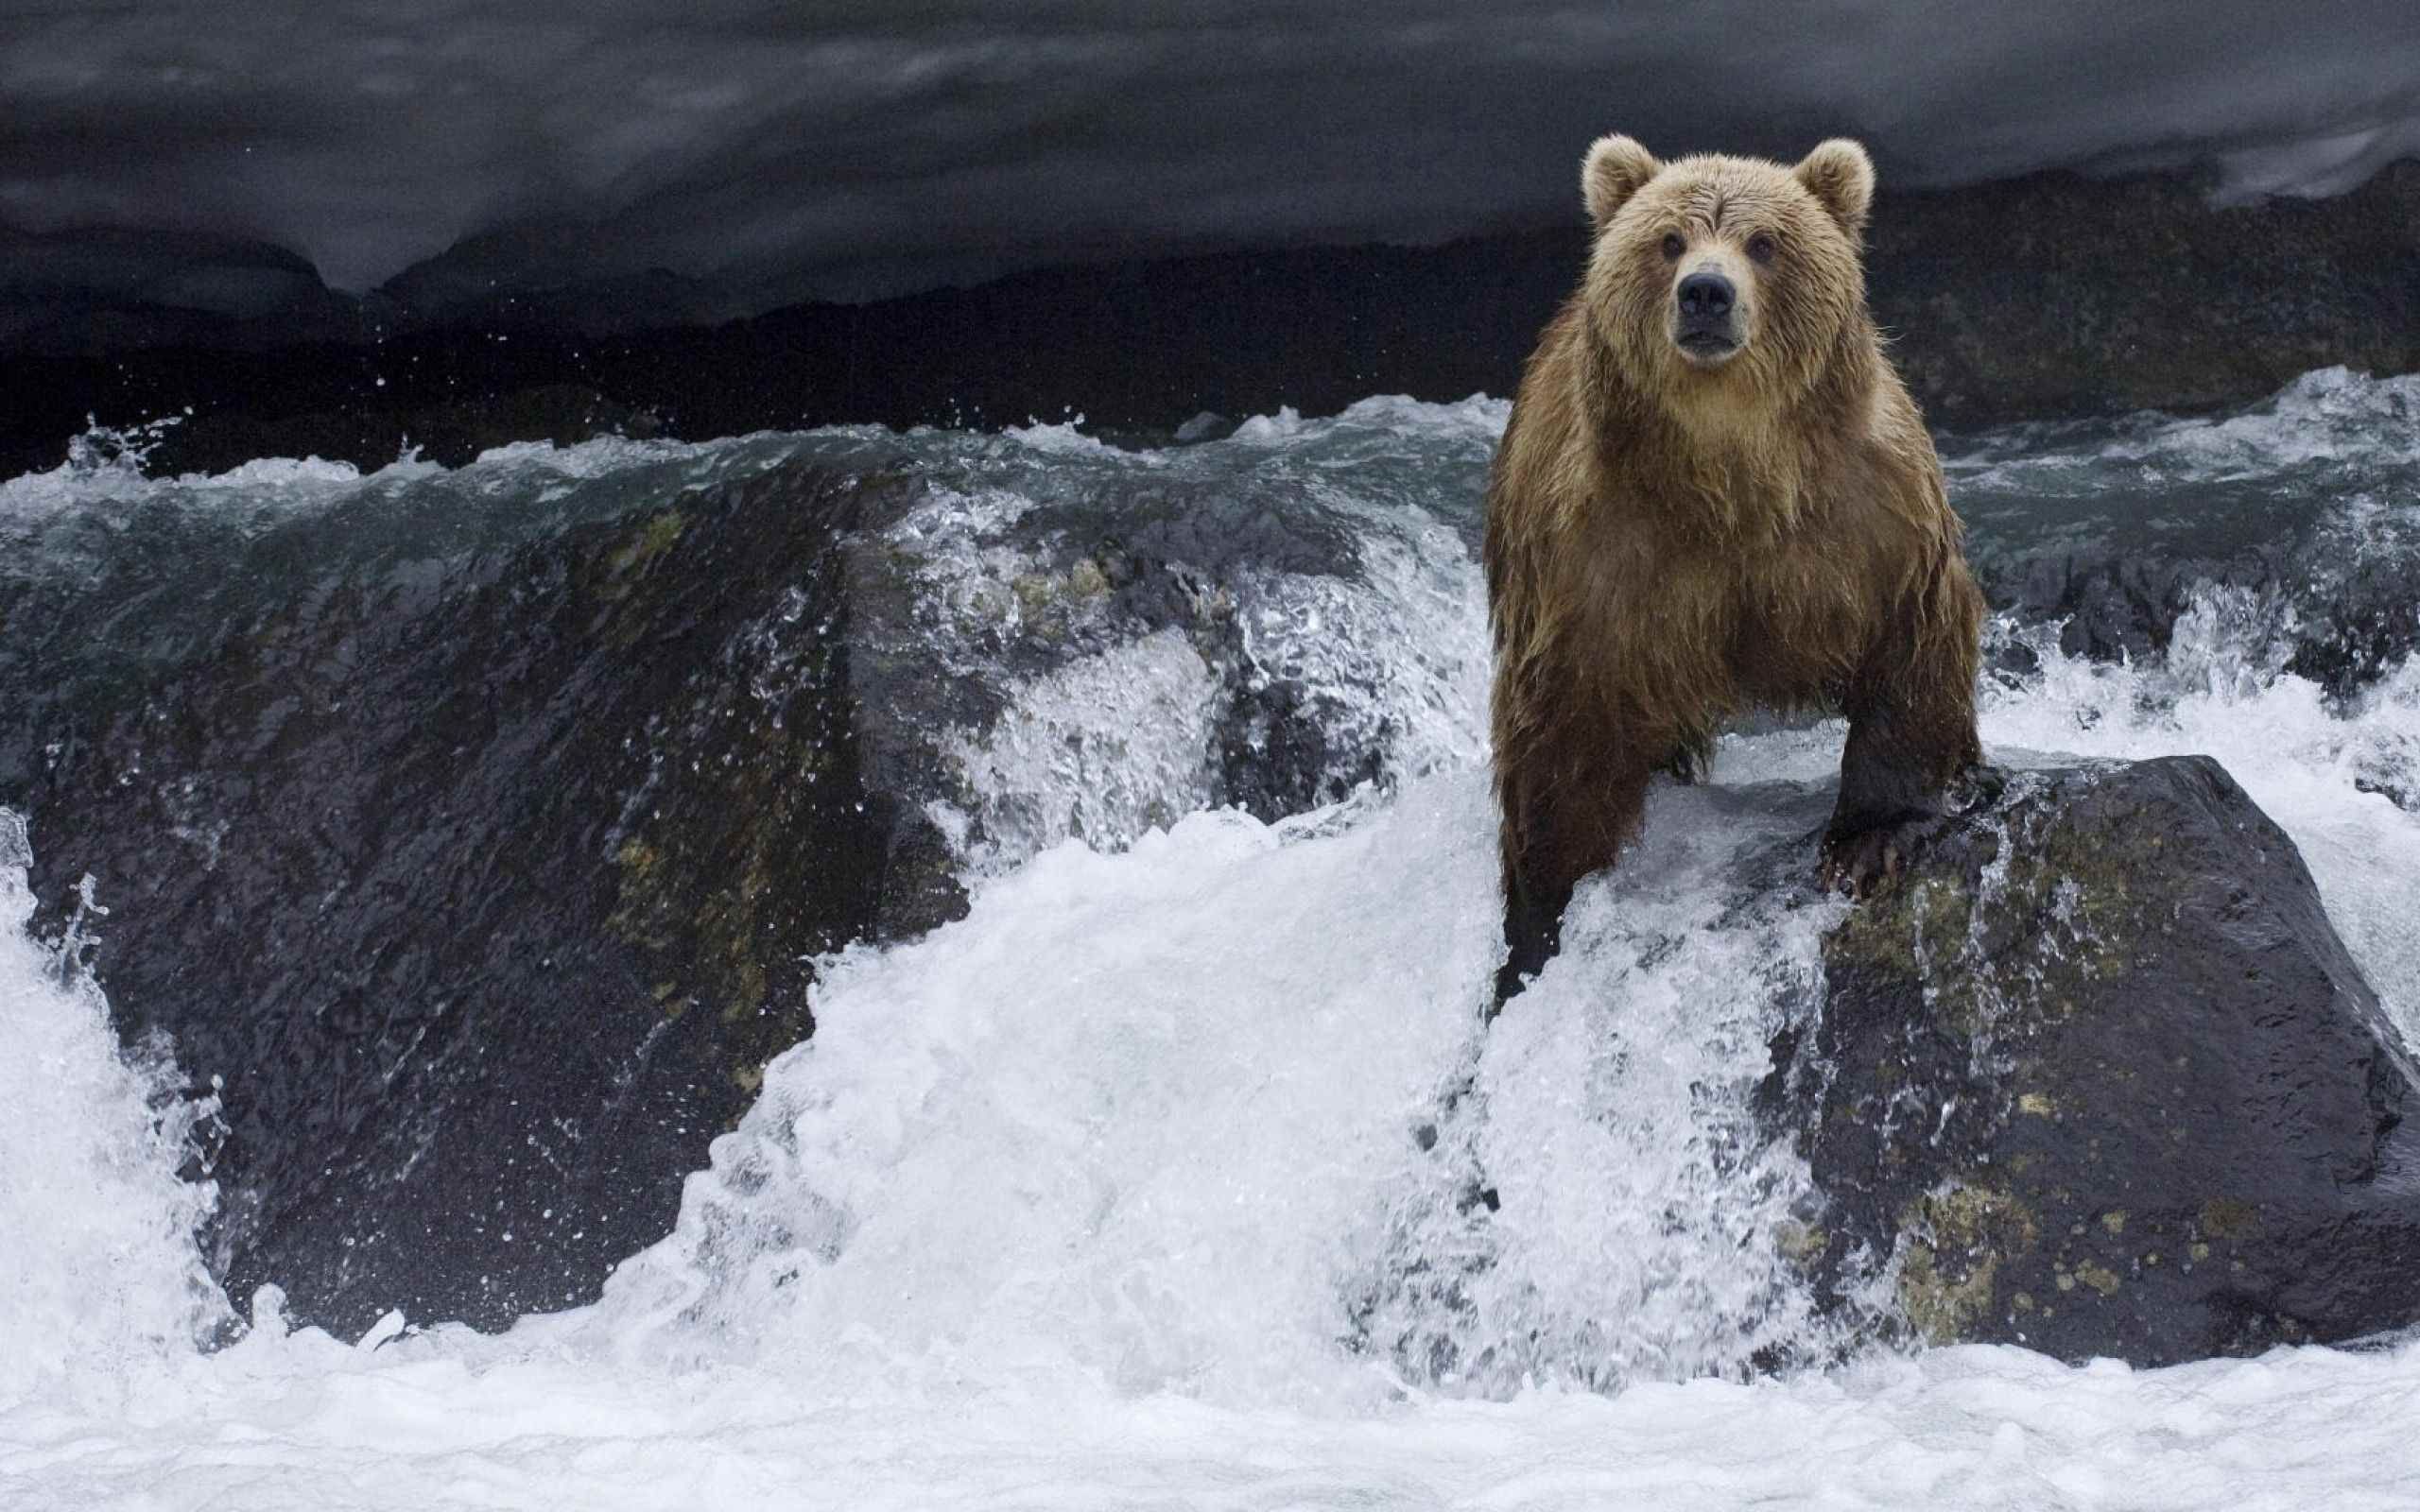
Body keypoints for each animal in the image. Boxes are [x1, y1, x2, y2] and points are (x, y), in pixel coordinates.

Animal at [1480, 129, 1994, 1001]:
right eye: (1668, 240)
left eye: (1764, 242)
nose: (1706, 294)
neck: (1730, 473)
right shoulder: (1594, 553)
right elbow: (1561, 729)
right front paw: (1537, 922)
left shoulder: (1867, 513)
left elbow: (1911, 643)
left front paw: (1870, 840)